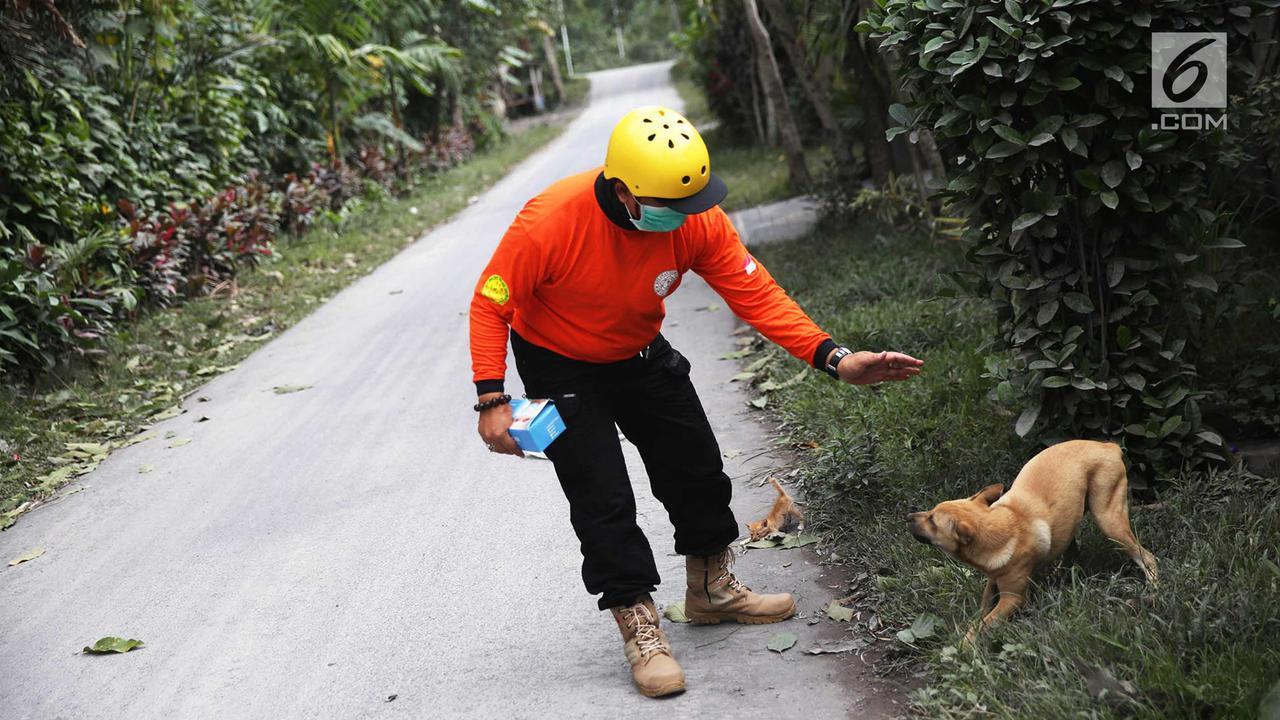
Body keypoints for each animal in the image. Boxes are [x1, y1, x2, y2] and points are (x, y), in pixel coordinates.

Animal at [901, 438, 1162, 638]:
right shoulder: (992, 582)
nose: (907, 516)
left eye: (933, 521)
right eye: (931, 511)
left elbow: (985, 623)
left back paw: (1153, 588)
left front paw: (966, 646)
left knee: (1146, 556)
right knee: (1072, 549)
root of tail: (1109, 446)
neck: (1003, 525)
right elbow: (981, 611)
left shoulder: (1013, 599)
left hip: (1109, 520)